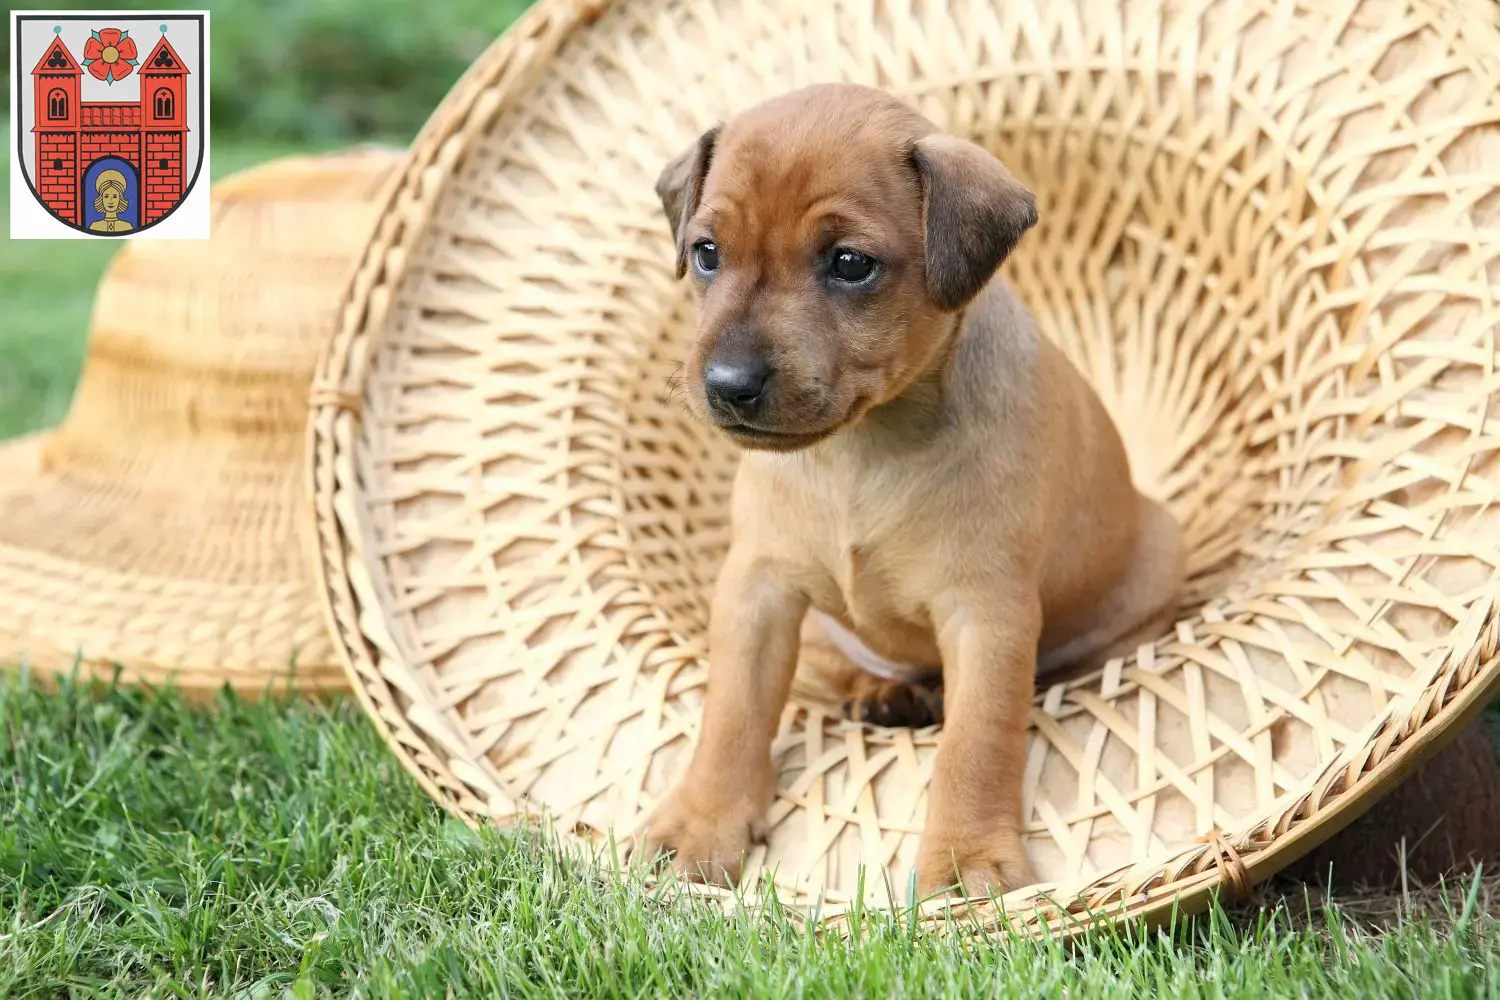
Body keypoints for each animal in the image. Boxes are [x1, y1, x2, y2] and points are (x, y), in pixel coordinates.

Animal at [633, 83, 1182, 899]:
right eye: (706, 253)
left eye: (850, 264)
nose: (728, 386)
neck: (860, 450)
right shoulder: (756, 591)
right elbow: (731, 713)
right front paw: (699, 824)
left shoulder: (988, 617)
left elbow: (977, 744)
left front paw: (966, 860)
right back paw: (884, 693)